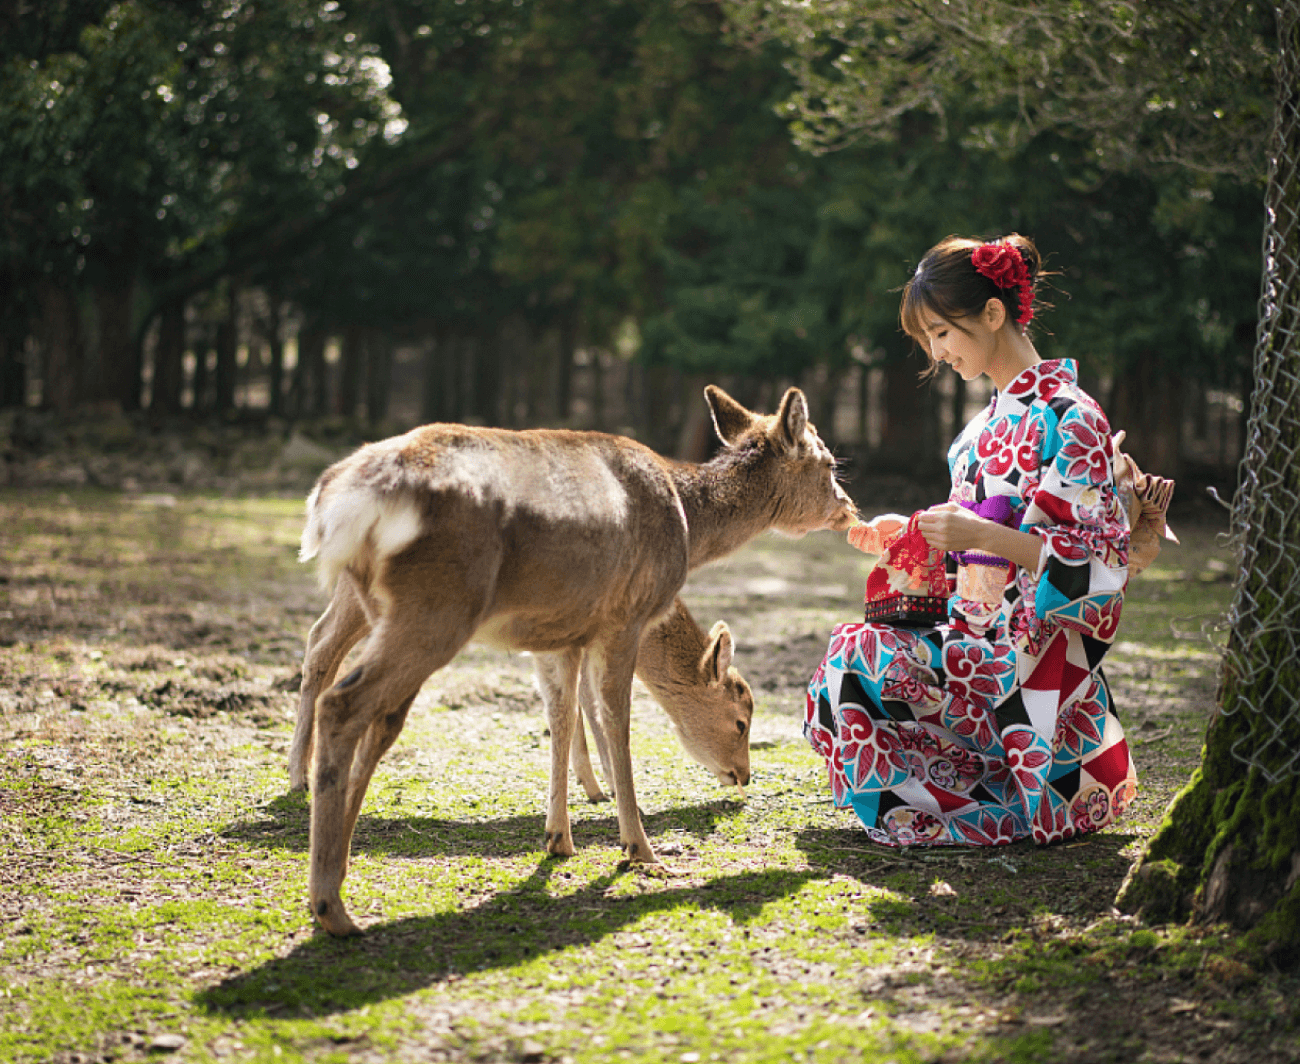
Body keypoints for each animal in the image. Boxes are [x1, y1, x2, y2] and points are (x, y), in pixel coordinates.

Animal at [283, 585, 754, 801]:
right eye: (741, 721)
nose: (744, 775)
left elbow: (580, 699)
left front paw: (594, 785)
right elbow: (585, 700)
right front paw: (606, 787)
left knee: (321, 637)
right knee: (321, 642)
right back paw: (298, 777)